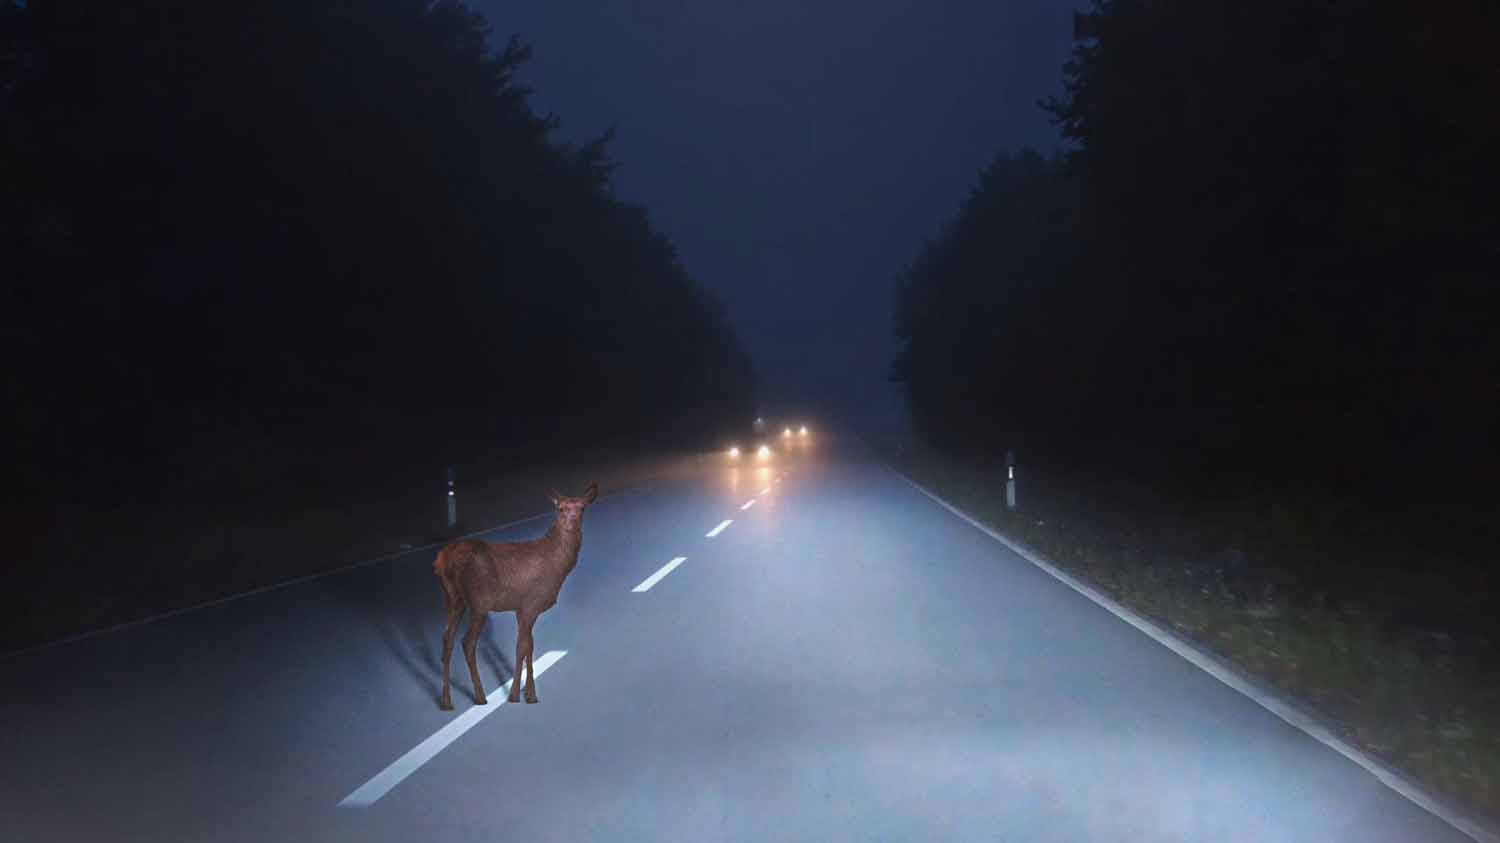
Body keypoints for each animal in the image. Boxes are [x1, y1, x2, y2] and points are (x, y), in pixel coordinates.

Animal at [432, 477, 594, 705]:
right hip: (479, 602)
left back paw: (446, 700)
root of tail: (443, 560)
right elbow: (522, 648)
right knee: (467, 642)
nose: (572, 520)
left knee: (447, 639)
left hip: (453, 599)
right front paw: (517, 695)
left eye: (582, 507)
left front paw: (529, 693)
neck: (556, 565)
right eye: (561, 508)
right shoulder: (530, 605)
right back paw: (480, 696)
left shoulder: (522, 609)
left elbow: (529, 647)